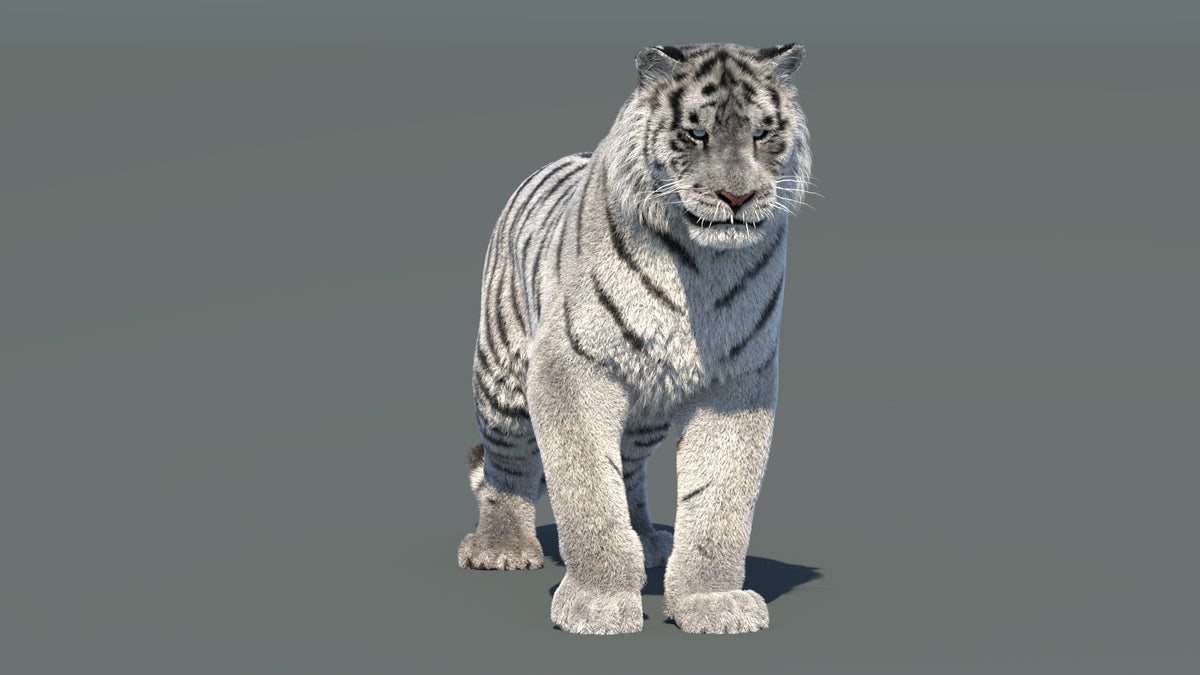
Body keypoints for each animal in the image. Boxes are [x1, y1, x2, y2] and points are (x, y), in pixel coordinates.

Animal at [458, 43, 812, 634]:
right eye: (696, 134)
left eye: (762, 134)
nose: (737, 196)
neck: (700, 264)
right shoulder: (570, 369)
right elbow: (587, 488)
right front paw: (597, 603)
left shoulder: (739, 381)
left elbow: (719, 500)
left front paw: (711, 603)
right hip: (502, 377)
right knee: (508, 463)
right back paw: (501, 547)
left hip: (647, 410)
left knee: (626, 464)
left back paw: (646, 539)